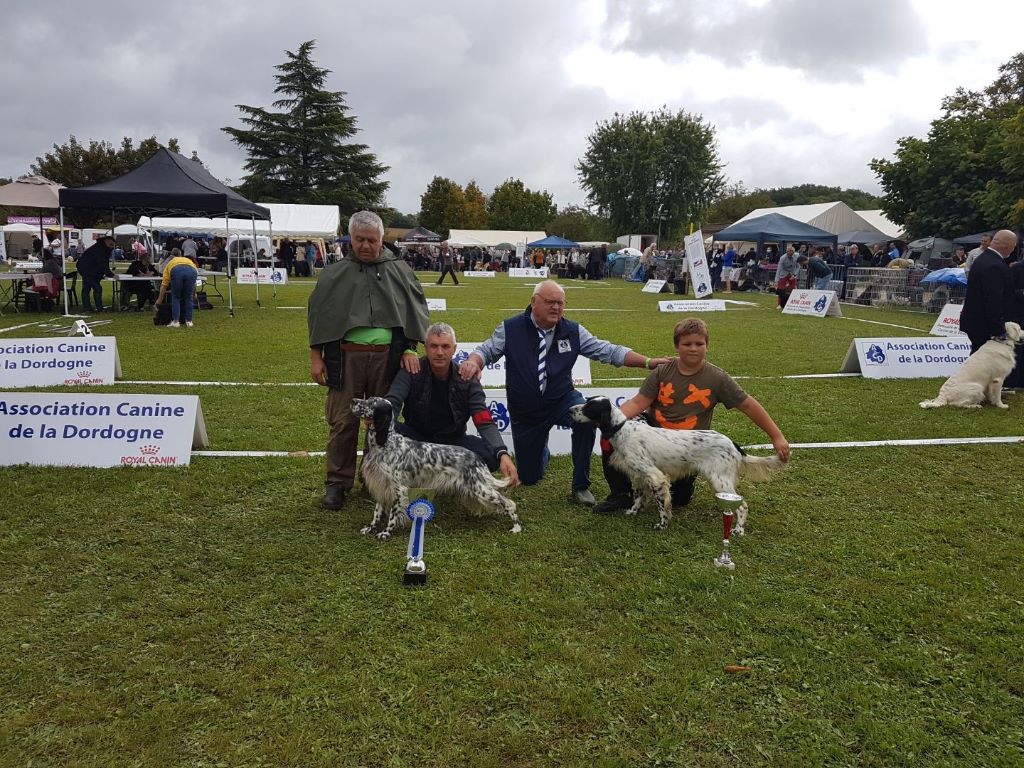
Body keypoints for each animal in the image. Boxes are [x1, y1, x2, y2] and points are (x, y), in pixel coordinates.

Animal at [350, 397, 520, 540]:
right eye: (368, 398)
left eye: (372, 403)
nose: (352, 400)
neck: (385, 443)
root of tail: (477, 458)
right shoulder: (381, 484)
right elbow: (377, 512)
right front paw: (370, 528)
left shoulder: (398, 489)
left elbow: (393, 515)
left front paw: (386, 532)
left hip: (480, 488)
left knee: (509, 503)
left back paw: (516, 527)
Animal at [569, 399, 782, 532]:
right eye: (587, 401)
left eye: (589, 407)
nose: (570, 410)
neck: (622, 430)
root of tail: (733, 444)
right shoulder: (639, 475)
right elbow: (638, 497)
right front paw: (632, 512)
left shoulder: (656, 476)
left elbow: (662, 504)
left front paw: (662, 525)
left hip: (720, 480)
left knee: (743, 505)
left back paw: (738, 530)